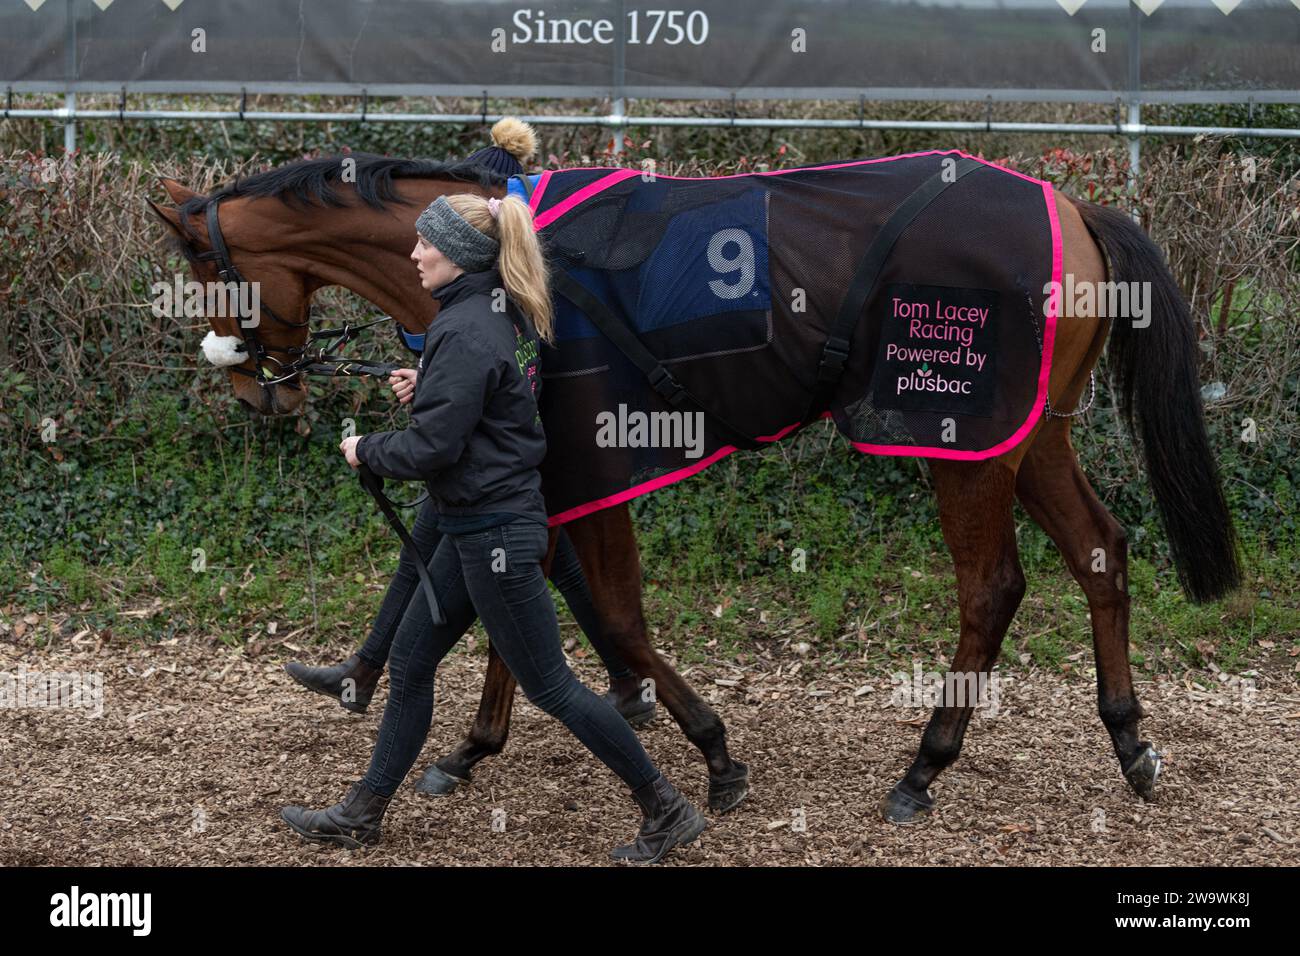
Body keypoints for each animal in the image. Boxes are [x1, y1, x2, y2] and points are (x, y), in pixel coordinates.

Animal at [144, 151, 1237, 822]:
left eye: (202, 258)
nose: (249, 383)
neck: (514, 265)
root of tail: (1073, 209)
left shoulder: (588, 458)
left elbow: (615, 617)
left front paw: (710, 750)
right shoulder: (546, 473)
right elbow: (519, 605)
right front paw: (470, 744)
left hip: (961, 438)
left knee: (991, 588)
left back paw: (922, 767)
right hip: (1032, 430)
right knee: (1099, 550)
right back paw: (1130, 740)